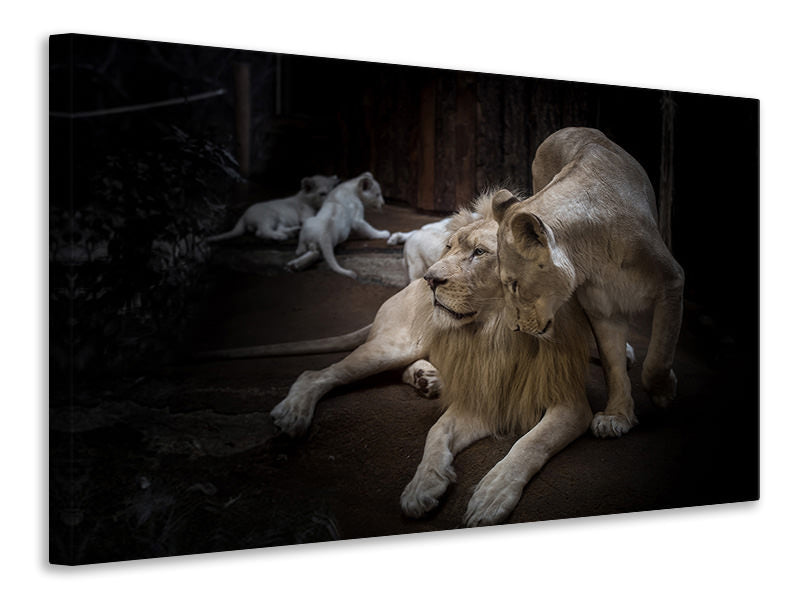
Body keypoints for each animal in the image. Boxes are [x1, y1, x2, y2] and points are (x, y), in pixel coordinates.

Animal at [206, 174, 339, 243]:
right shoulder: (306, 215)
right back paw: (281, 236)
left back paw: (293, 232)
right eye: (323, 193)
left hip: (280, 220)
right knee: (261, 232)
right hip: (269, 216)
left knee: (270, 230)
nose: (333, 200)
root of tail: (243, 216)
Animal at [268, 193, 593, 526]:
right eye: (449, 246)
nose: (430, 280)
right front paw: (422, 485)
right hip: (395, 346)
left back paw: (427, 379)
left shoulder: (570, 404)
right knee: (316, 373)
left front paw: (492, 493)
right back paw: (294, 414)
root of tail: (404, 289)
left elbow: (531, 442)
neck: (499, 332)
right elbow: (437, 430)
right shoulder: (482, 397)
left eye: (479, 252)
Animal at [492, 127, 685, 439]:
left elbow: (658, 356)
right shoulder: (601, 308)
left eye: (514, 285)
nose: (514, 328)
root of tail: (569, 128)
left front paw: (664, 392)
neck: (592, 254)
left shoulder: (671, 281)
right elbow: (612, 364)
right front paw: (617, 415)